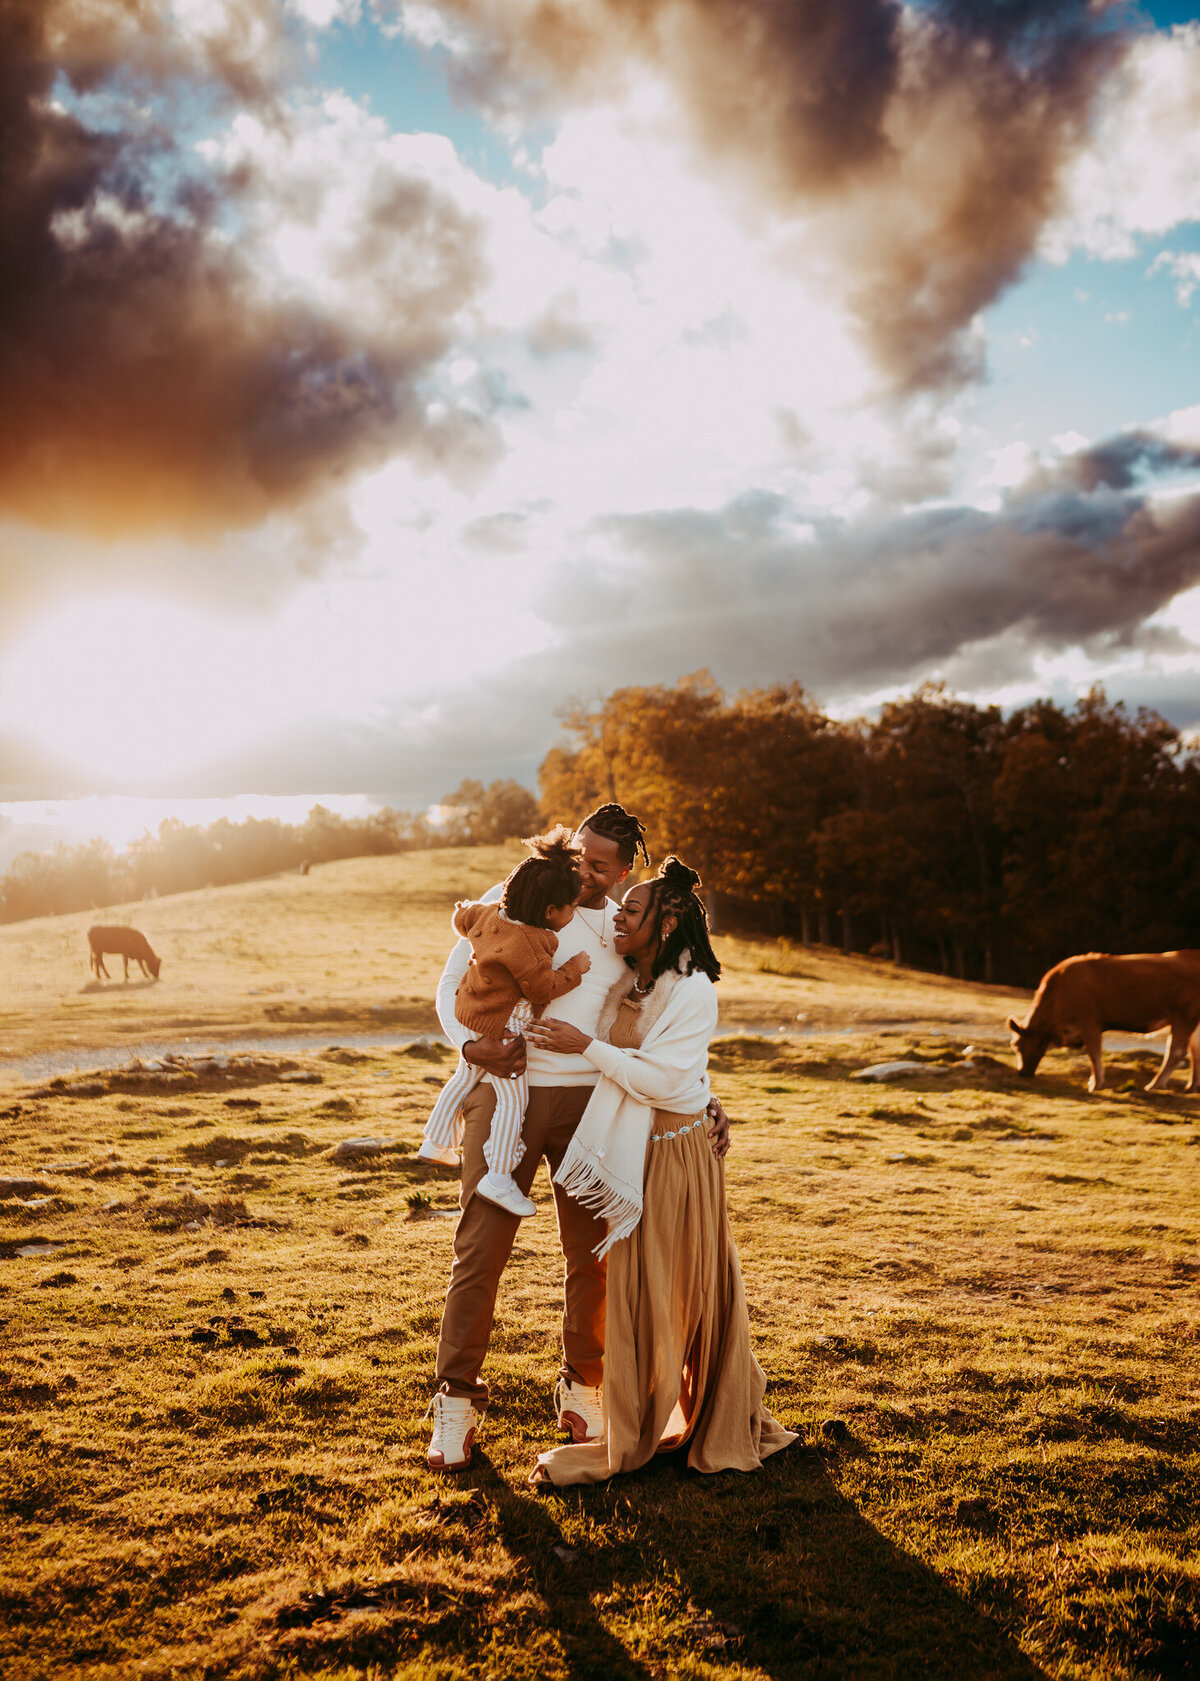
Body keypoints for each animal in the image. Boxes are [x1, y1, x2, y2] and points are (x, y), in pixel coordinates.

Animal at [1001, 954, 1196, 1096]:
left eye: (1017, 1045)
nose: (1022, 1072)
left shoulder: (1090, 1023)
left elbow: (1094, 1054)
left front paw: (1096, 1083)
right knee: (1195, 1051)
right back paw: (1192, 1086)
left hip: (1184, 1016)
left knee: (1176, 1052)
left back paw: (1155, 1084)